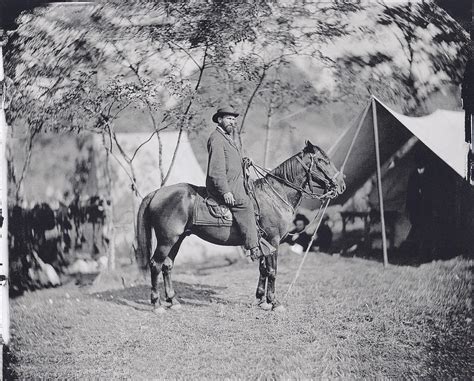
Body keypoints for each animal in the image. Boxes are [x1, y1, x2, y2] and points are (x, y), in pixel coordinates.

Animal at [136, 140, 344, 312]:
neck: (274, 195)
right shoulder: (273, 241)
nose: (341, 185)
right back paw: (157, 304)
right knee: (156, 265)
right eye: (322, 160)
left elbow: (263, 269)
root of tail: (157, 192)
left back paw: (173, 301)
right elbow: (272, 271)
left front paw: (261, 300)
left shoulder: (263, 244)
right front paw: (274, 303)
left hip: (177, 239)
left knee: (167, 266)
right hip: (167, 240)